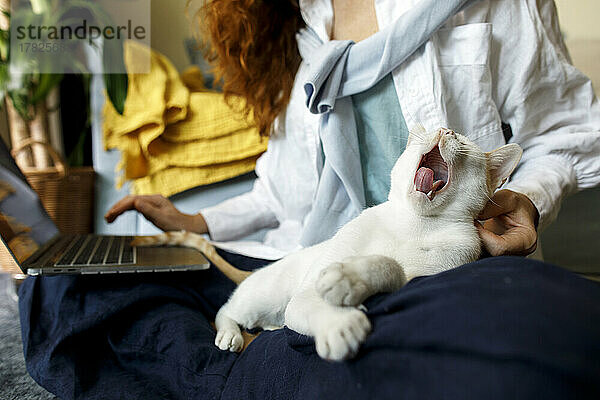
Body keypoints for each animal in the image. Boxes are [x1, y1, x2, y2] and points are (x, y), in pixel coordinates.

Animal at [134, 129, 524, 362]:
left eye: (465, 143)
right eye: (431, 129)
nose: (445, 130)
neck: (412, 225)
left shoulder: (444, 264)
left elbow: (393, 266)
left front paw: (351, 278)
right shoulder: (306, 294)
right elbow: (316, 300)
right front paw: (341, 323)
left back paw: (273, 329)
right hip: (265, 297)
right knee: (225, 311)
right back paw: (230, 334)